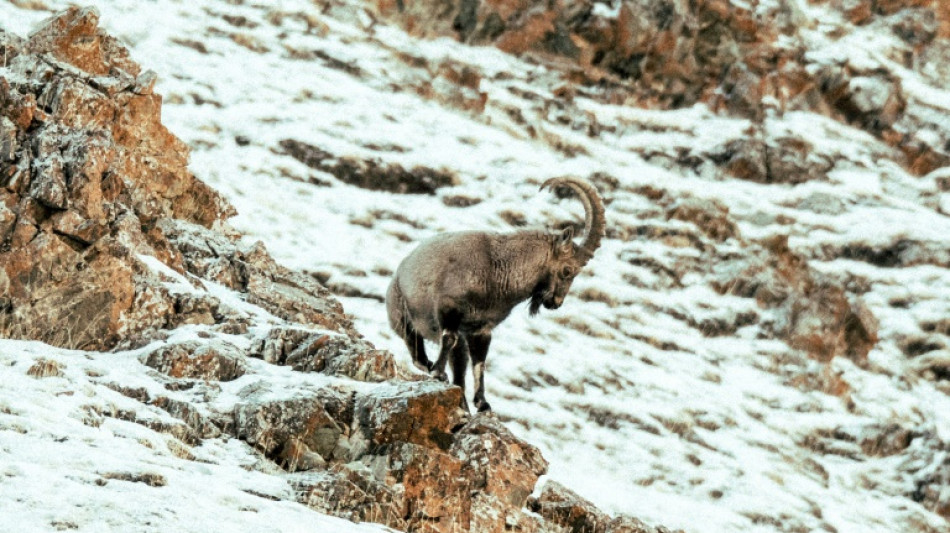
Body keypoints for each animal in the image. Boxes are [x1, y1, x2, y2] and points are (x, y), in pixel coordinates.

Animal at [384, 177, 604, 410]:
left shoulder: (481, 328)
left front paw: (482, 403)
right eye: (568, 270)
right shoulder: (449, 308)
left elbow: (480, 362)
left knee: (458, 370)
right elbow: (449, 338)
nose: (556, 302)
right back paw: (432, 367)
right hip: (403, 319)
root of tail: (397, 274)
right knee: (417, 353)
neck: (496, 268)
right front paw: (438, 372)